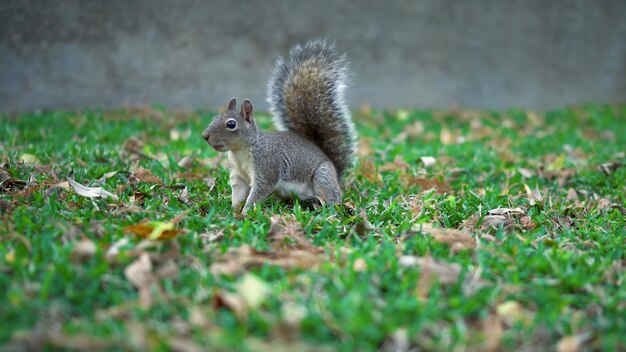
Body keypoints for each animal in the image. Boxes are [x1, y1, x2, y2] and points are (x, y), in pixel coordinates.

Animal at [201, 39, 356, 214]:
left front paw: (246, 212)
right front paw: (234, 211)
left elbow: (259, 191)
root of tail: (336, 171)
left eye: (231, 124)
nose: (205, 136)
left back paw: (329, 208)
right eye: (214, 117)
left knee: (334, 195)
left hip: (322, 175)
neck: (239, 151)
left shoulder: (267, 167)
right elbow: (239, 193)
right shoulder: (238, 176)